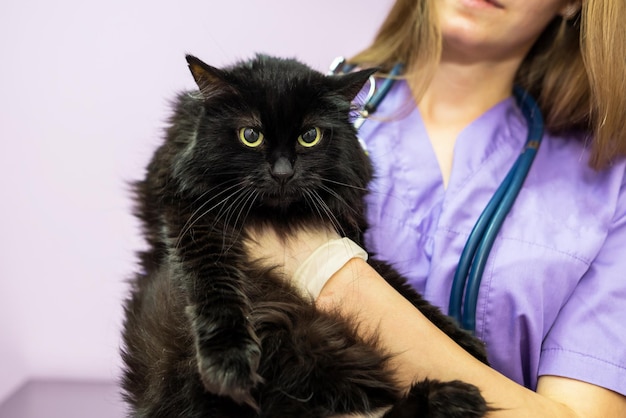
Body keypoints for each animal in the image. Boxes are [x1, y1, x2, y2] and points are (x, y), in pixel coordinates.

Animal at [122, 54, 490, 418]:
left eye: (309, 135)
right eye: (250, 135)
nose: (282, 172)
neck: (278, 217)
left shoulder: (350, 234)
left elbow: (403, 289)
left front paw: (464, 342)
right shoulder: (193, 221)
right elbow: (216, 288)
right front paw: (228, 362)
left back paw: (450, 399)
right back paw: (448, 399)